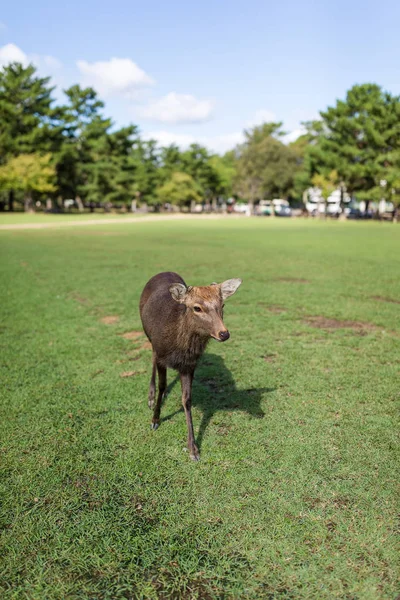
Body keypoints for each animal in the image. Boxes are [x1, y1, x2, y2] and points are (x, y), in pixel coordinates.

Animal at [139, 272, 242, 460]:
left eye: (222, 304)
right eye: (197, 308)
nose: (224, 334)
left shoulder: (190, 365)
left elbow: (187, 399)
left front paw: (193, 449)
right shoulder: (161, 355)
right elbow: (163, 385)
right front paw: (155, 420)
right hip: (149, 337)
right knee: (152, 359)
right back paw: (150, 397)